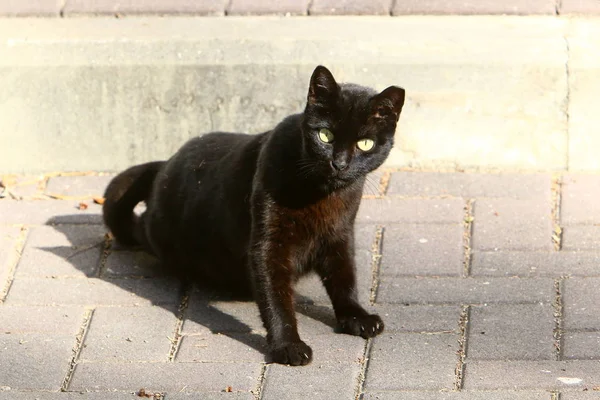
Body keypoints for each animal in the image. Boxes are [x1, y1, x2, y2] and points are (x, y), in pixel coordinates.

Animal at [103, 66, 406, 366]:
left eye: (365, 143)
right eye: (325, 135)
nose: (339, 163)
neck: (322, 195)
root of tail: (165, 163)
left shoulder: (340, 235)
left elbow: (344, 277)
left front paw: (356, 316)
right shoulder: (268, 243)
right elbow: (277, 299)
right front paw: (288, 346)